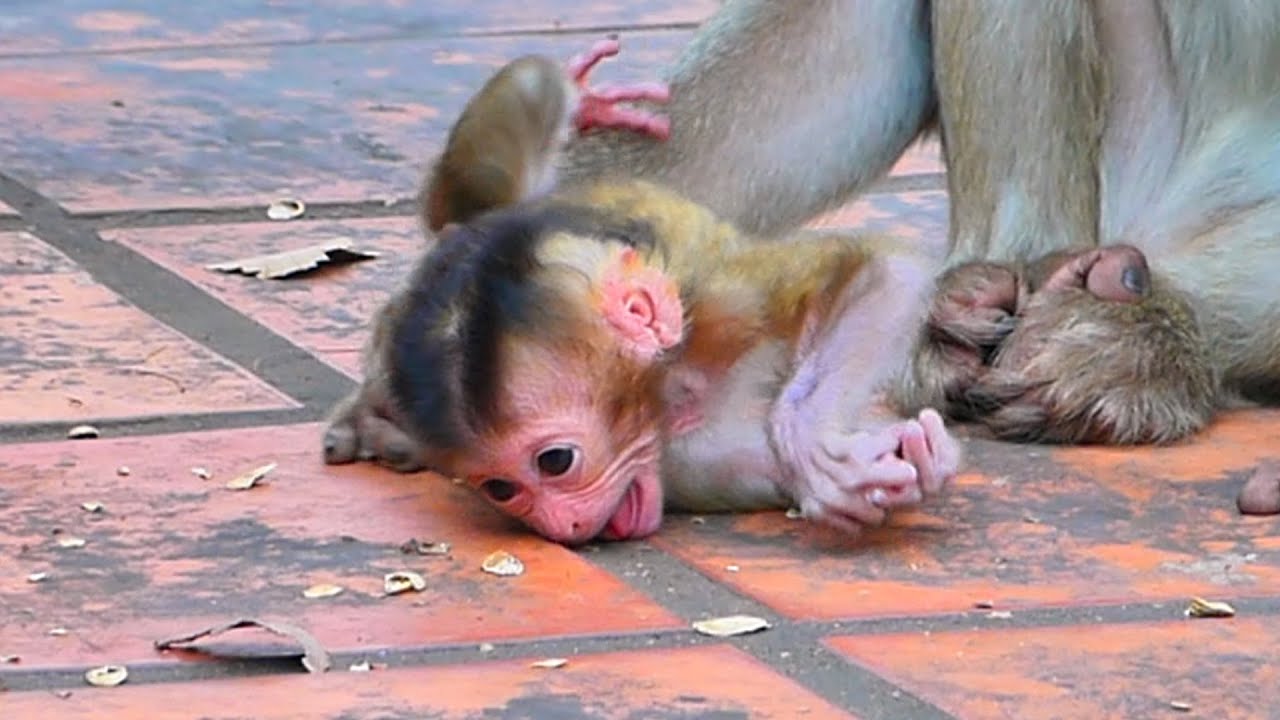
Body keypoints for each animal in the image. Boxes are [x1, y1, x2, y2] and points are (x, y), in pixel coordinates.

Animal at [323, 40, 962, 545]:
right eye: (501, 488)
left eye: (555, 463)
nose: (562, 528)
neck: (672, 389)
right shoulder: (679, 456)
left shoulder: (726, 307)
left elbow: (885, 271)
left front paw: (820, 444)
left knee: (530, 86)